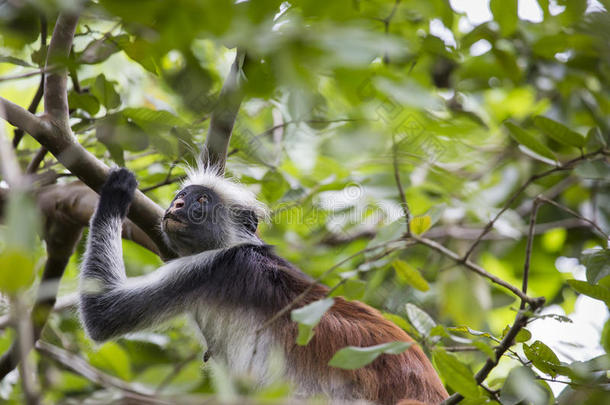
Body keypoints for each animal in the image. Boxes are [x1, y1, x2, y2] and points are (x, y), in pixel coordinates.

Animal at [78, 166, 446, 402]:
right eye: (181, 196)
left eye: (200, 201)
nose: (177, 204)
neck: (242, 248)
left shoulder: (209, 268)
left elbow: (101, 315)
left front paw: (116, 192)